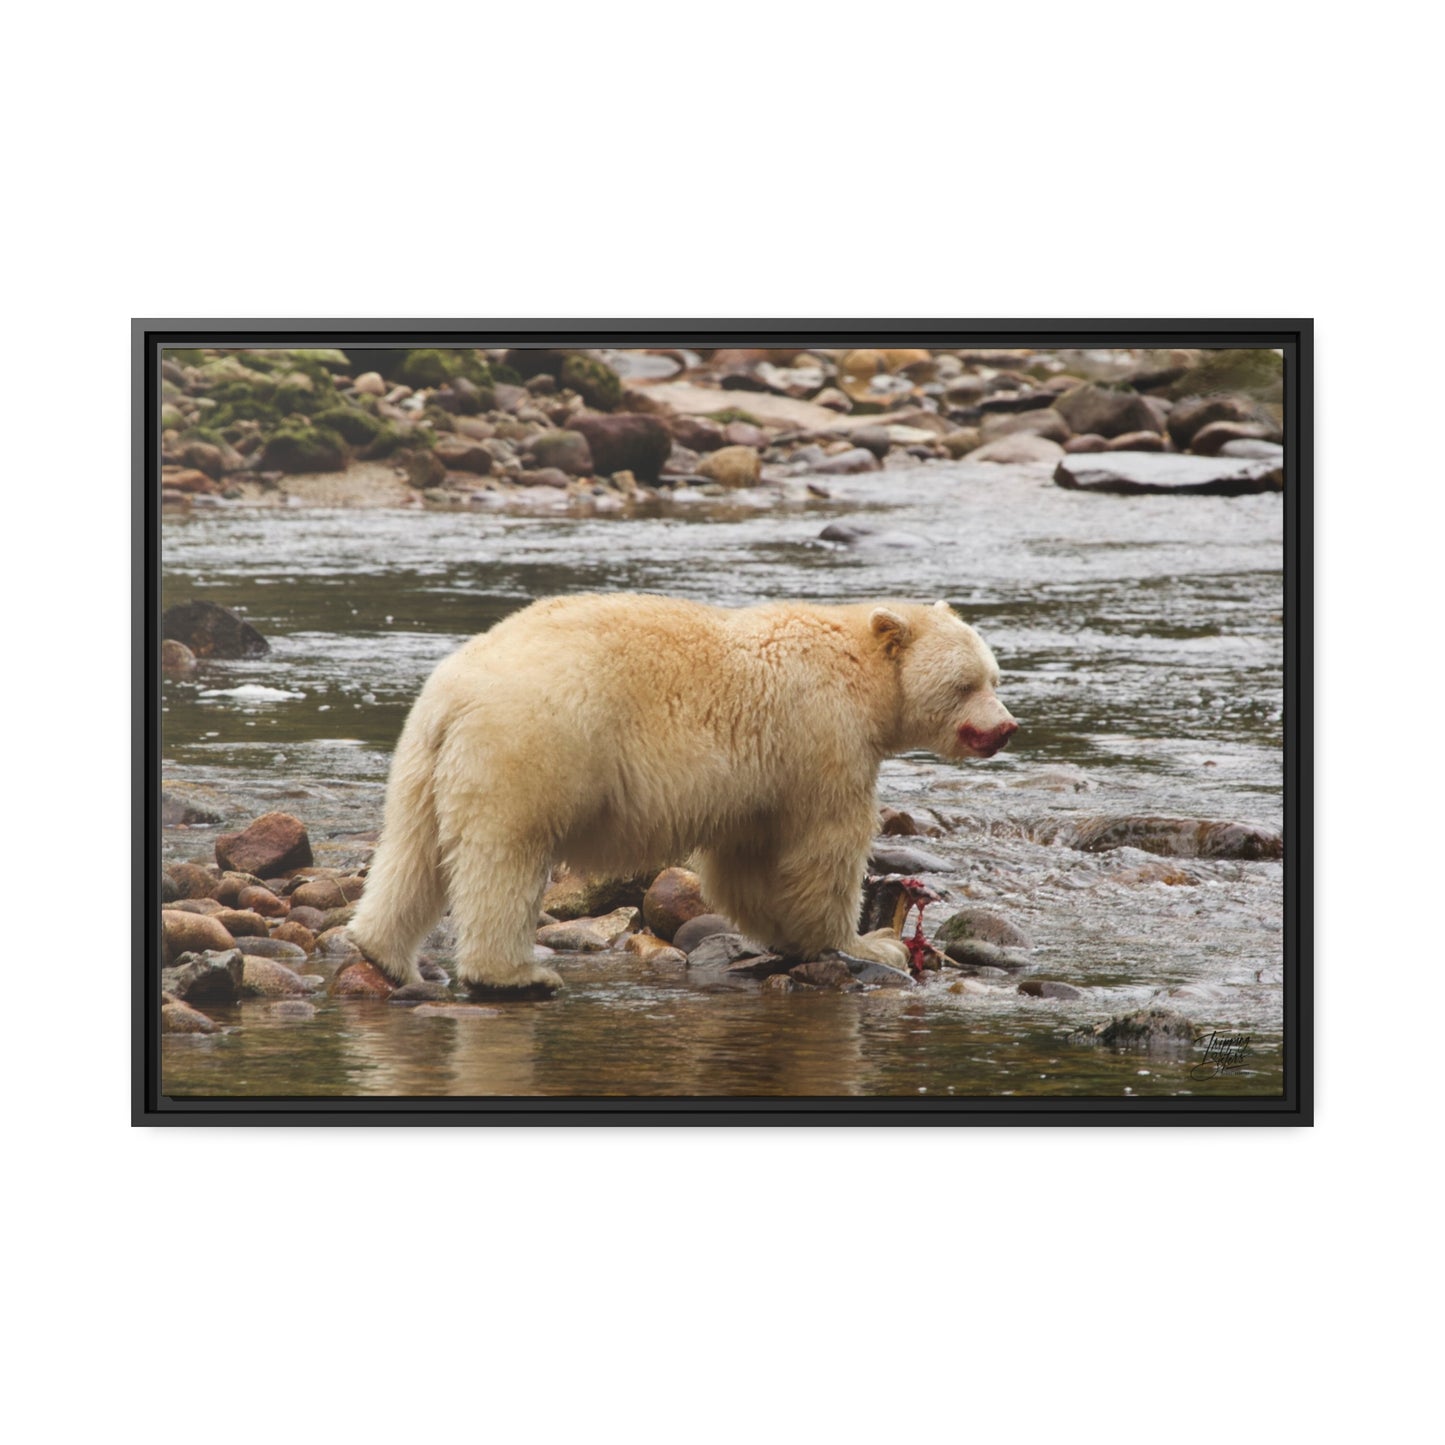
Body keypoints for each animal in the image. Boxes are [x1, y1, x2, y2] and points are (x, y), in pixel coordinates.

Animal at [348, 589, 1017, 994]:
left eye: (995, 676)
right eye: (965, 685)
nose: (1006, 727)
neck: (860, 672)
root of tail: (454, 689)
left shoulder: (760, 776)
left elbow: (747, 860)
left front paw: (783, 931)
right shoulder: (821, 736)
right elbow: (823, 845)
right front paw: (869, 944)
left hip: (426, 759)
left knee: (413, 851)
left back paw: (383, 952)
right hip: (532, 743)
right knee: (504, 853)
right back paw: (514, 974)